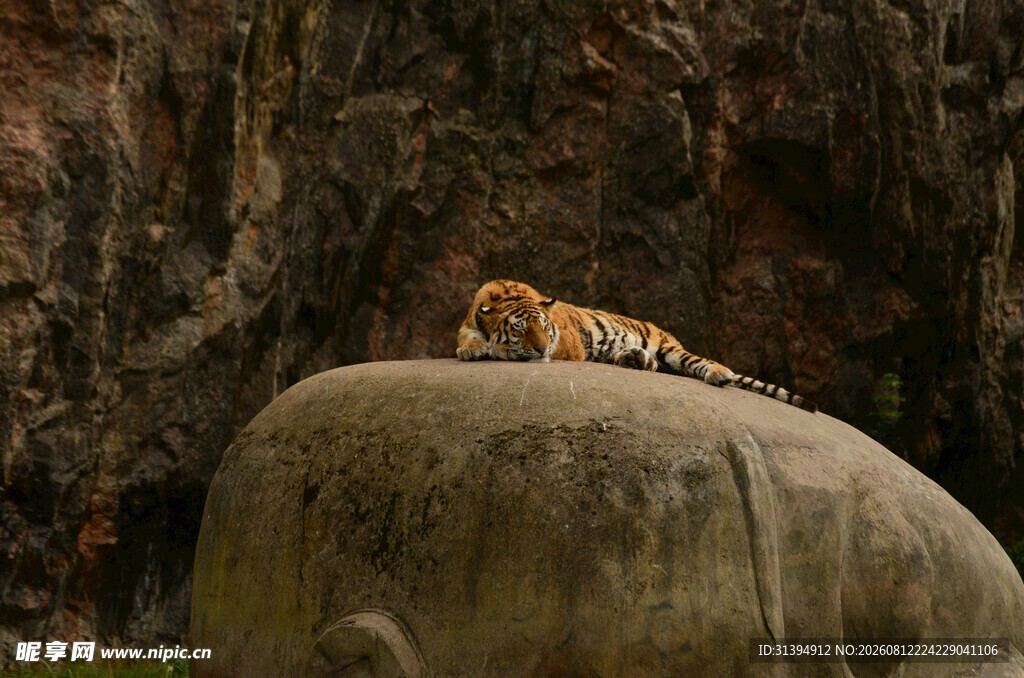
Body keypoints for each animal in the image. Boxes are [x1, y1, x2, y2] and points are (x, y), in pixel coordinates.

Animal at [456, 280, 818, 412]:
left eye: (544, 327)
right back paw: (632, 359)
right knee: (651, 363)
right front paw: (472, 349)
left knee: (697, 362)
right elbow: (465, 337)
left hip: (672, 349)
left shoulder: (568, 344)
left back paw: (719, 374)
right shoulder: (470, 320)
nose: (542, 350)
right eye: (521, 329)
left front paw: (498, 350)